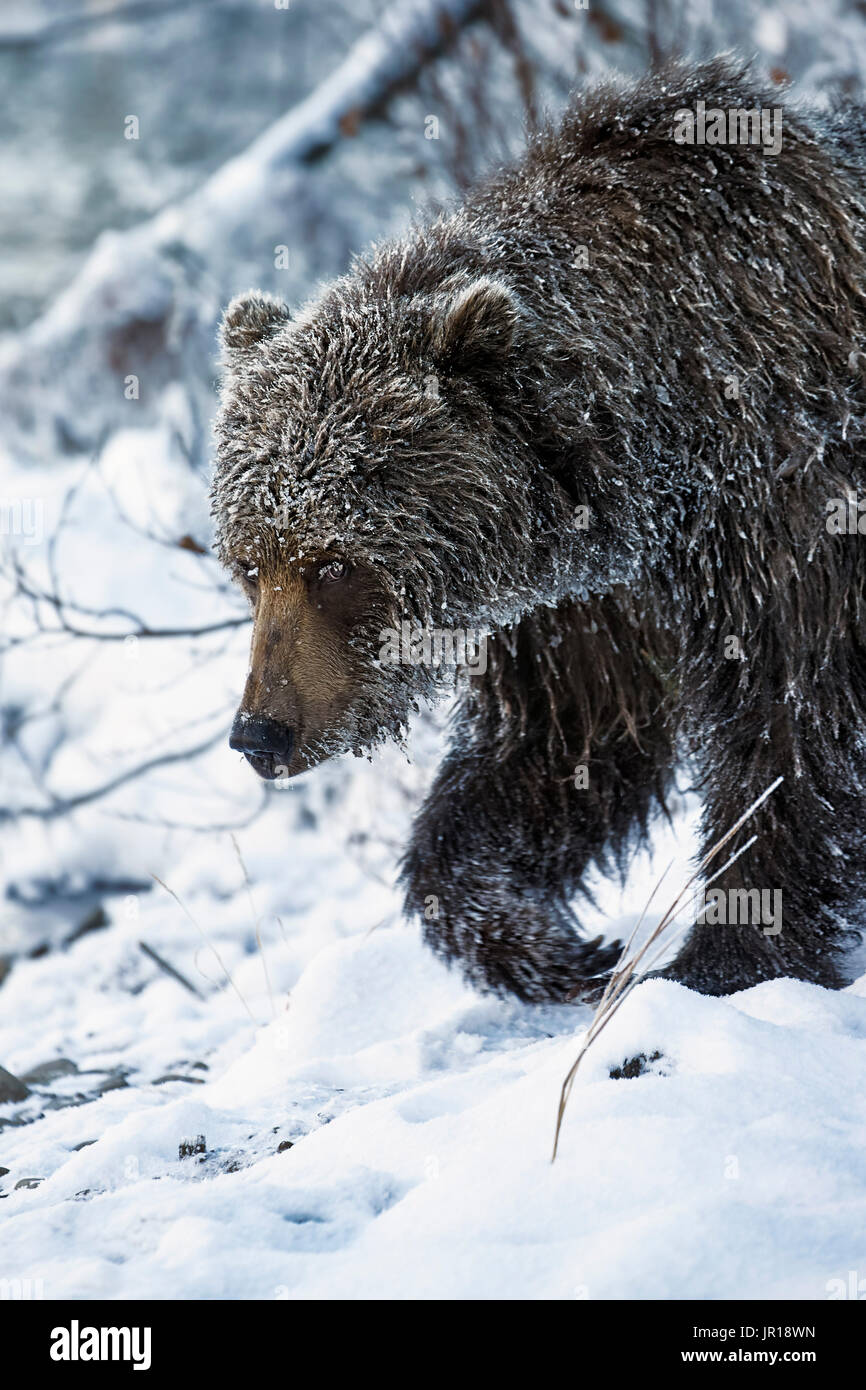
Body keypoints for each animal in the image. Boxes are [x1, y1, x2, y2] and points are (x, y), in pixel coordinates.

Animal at [212, 57, 866, 1004]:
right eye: (248, 564)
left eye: (334, 563)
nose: (260, 732)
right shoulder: (580, 609)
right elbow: (561, 748)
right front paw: (545, 943)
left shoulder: (780, 504)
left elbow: (790, 711)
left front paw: (724, 956)